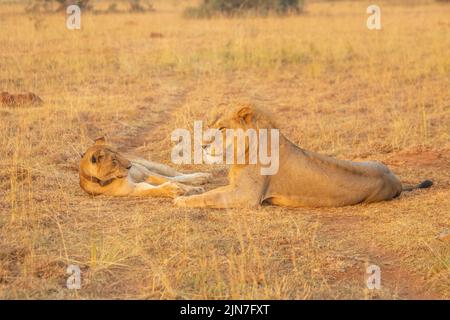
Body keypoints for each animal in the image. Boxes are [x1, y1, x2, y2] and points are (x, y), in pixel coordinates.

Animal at [79, 137, 213, 198]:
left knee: (176, 175)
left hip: (152, 166)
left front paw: (193, 189)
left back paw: (201, 177)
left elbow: (172, 180)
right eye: (114, 160)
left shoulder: (145, 174)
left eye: (119, 153)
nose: (130, 165)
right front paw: (173, 190)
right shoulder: (133, 190)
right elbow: (153, 189)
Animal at [173, 102, 432, 208]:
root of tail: (397, 181)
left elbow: (210, 197)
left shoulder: (247, 196)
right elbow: (211, 192)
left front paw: (181, 200)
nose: (202, 145)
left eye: (222, 129)